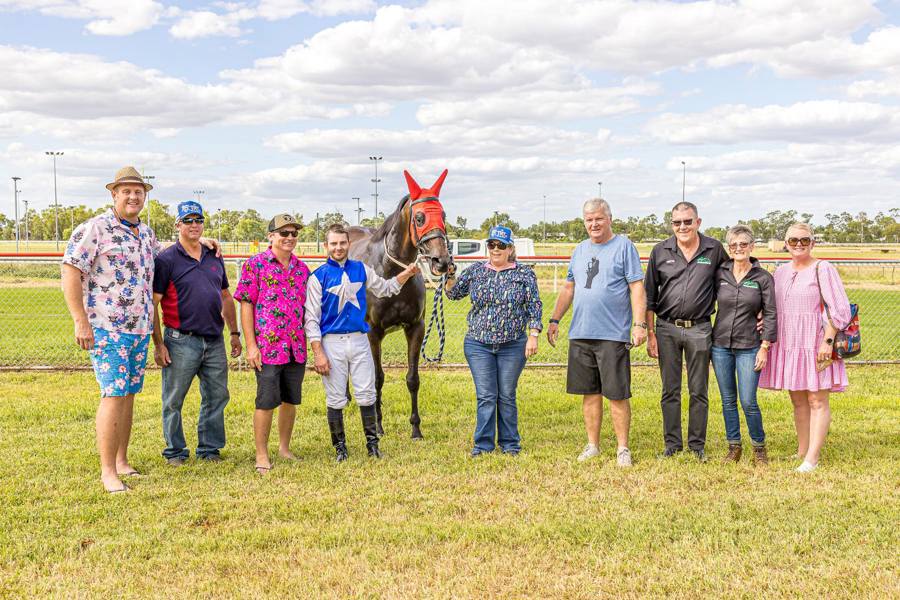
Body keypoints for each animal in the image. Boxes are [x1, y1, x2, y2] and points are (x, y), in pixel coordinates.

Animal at [347, 169, 453, 439]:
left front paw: (416, 428)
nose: (442, 261)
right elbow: (377, 379)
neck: (391, 271)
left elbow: (412, 379)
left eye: (444, 215)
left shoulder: (415, 328)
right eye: (419, 217)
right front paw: (378, 425)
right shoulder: (373, 332)